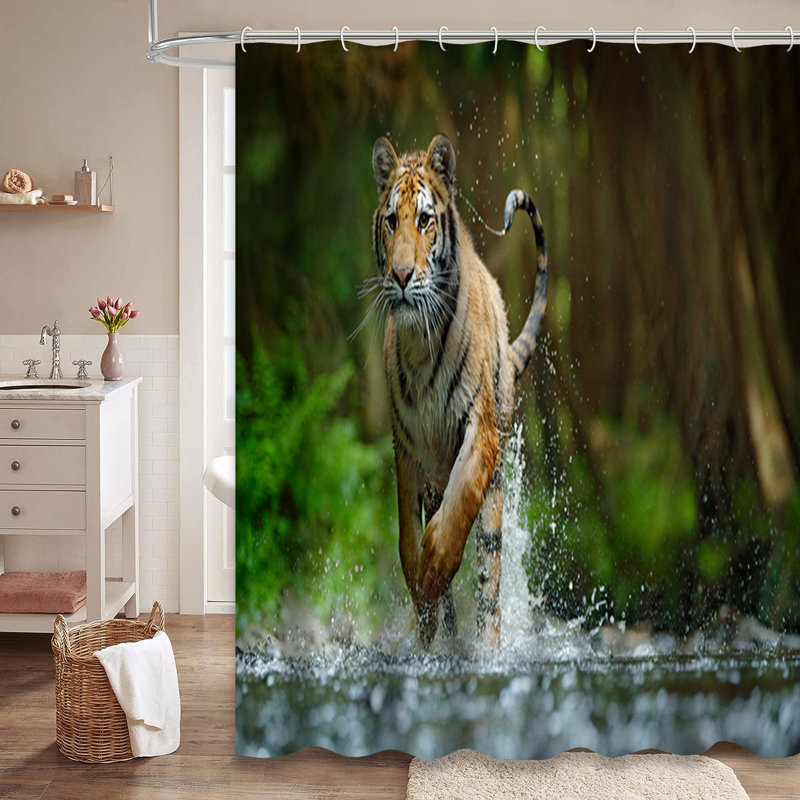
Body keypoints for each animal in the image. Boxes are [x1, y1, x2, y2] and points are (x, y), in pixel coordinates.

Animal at [369, 133, 548, 648]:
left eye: (425, 220)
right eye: (392, 221)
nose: (401, 276)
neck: (420, 341)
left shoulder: (480, 429)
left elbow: (457, 508)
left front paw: (433, 567)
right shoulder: (406, 445)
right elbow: (407, 536)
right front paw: (421, 589)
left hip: (497, 494)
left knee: (490, 587)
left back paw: (486, 646)